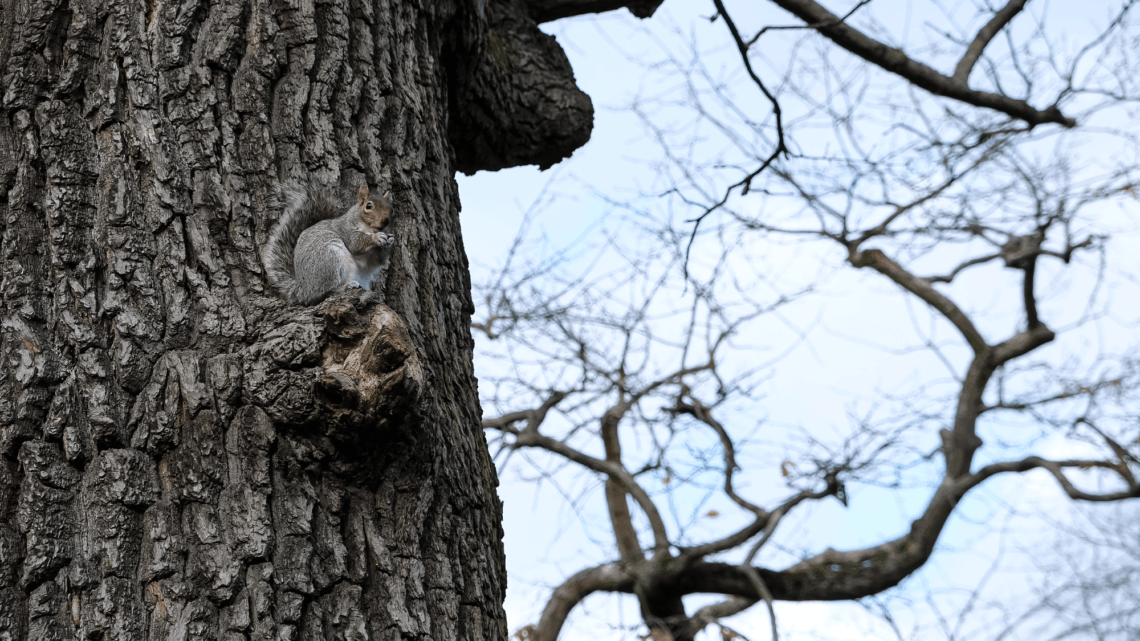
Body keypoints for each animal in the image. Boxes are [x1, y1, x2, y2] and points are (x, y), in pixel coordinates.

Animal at [264, 179, 395, 305]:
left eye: (391, 208)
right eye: (368, 206)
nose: (386, 221)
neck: (368, 228)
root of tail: (303, 289)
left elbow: (378, 260)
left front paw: (390, 241)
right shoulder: (345, 229)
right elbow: (356, 243)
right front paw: (376, 237)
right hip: (330, 259)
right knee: (324, 292)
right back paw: (346, 286)